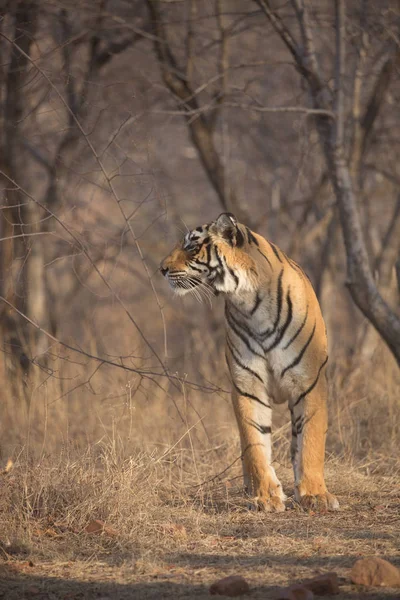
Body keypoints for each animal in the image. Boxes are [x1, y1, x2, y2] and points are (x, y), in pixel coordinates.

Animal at [159, 211, 338, 510]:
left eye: (192, 246)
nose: (161, 269)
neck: (251, 302)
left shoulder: (309, 381)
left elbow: (311, 440)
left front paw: (315, 494)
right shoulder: (247, 384)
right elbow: (254, 442)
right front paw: (266, 496)